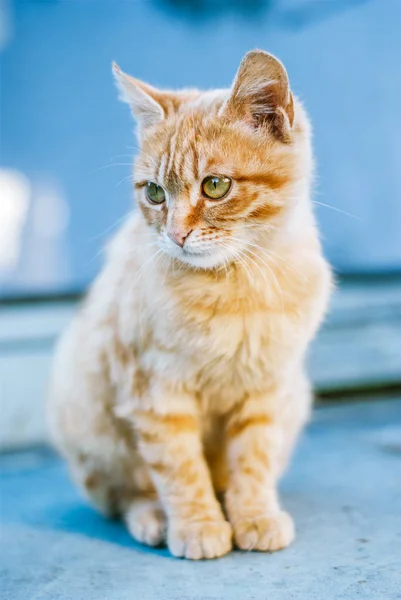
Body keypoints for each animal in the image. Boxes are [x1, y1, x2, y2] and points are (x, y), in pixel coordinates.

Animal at [47, 49, 332, 560]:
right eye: (155, 193)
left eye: (215, 185)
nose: (175, 234)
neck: (235, 284)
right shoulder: (155, 394)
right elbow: (179, 468)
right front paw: (198, 524)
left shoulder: (267, 389)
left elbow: (253, 460)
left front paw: (253, 514)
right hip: (85, 415)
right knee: (125, 492)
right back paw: (154, 517)